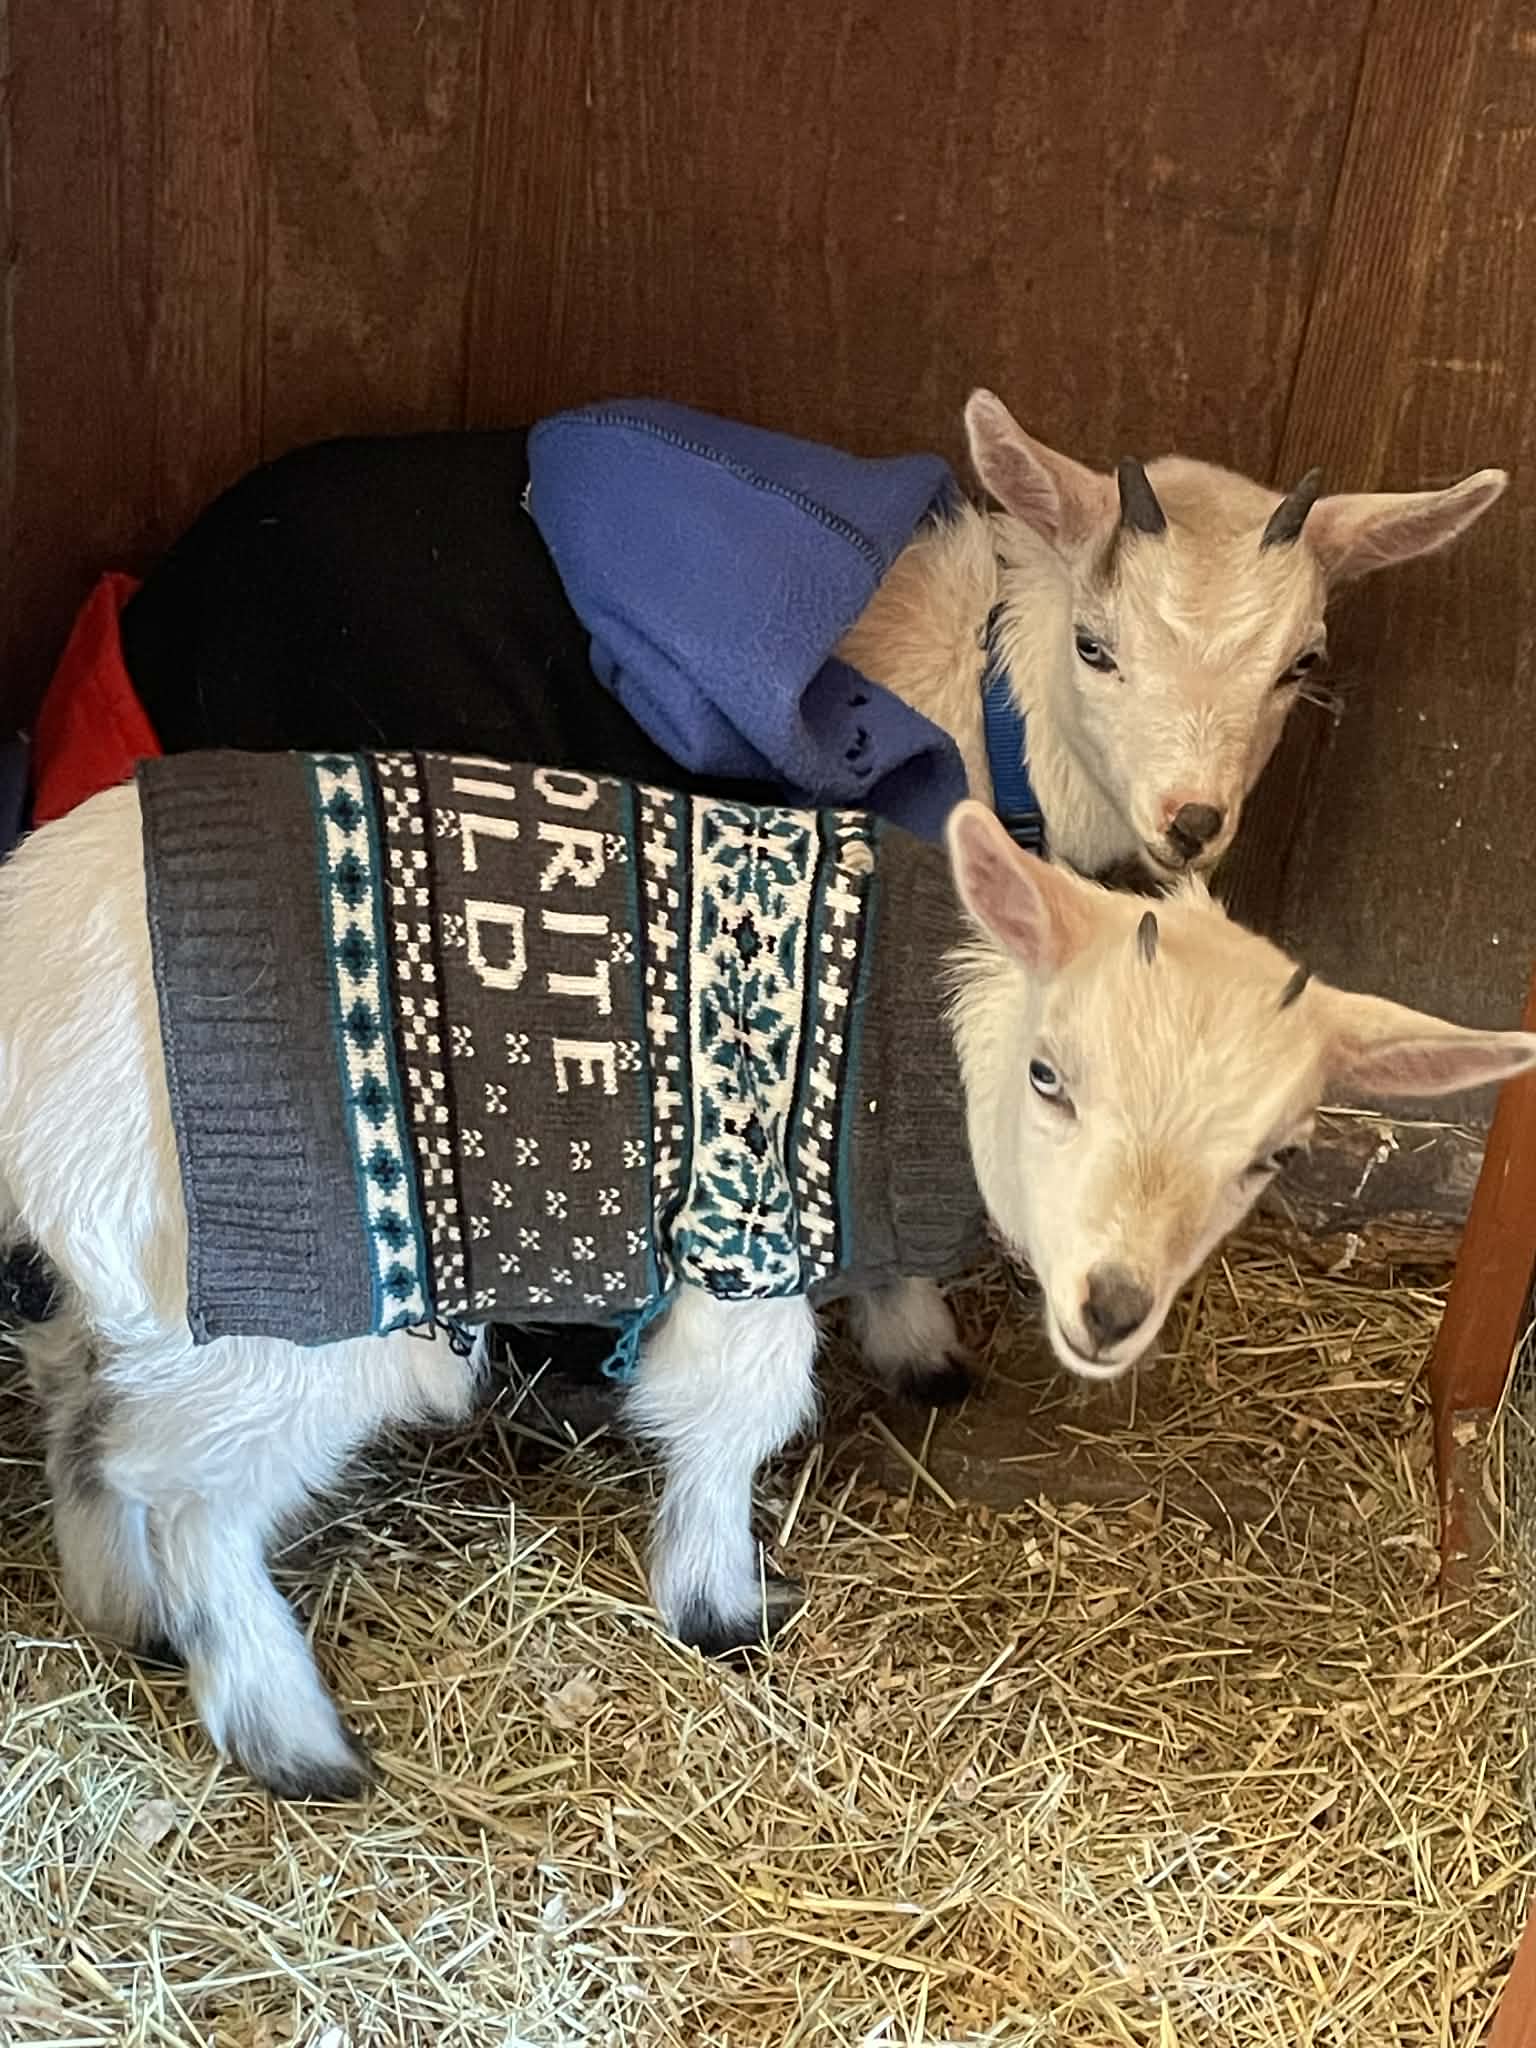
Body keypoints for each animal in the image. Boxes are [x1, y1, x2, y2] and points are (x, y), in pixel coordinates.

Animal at [0, 771, 1528, 1798]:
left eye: (1274, 1156)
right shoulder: (742, 1239)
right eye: (1053, 1077)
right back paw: (290, 1735)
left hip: (123, 1277)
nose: (1111, 1307)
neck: (934, 1042)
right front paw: (720, 1605)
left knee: (81, 1421)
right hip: (281, 1313)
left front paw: (921, 1348)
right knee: (183, 1492)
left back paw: (124, 1617)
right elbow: (735, 1417)